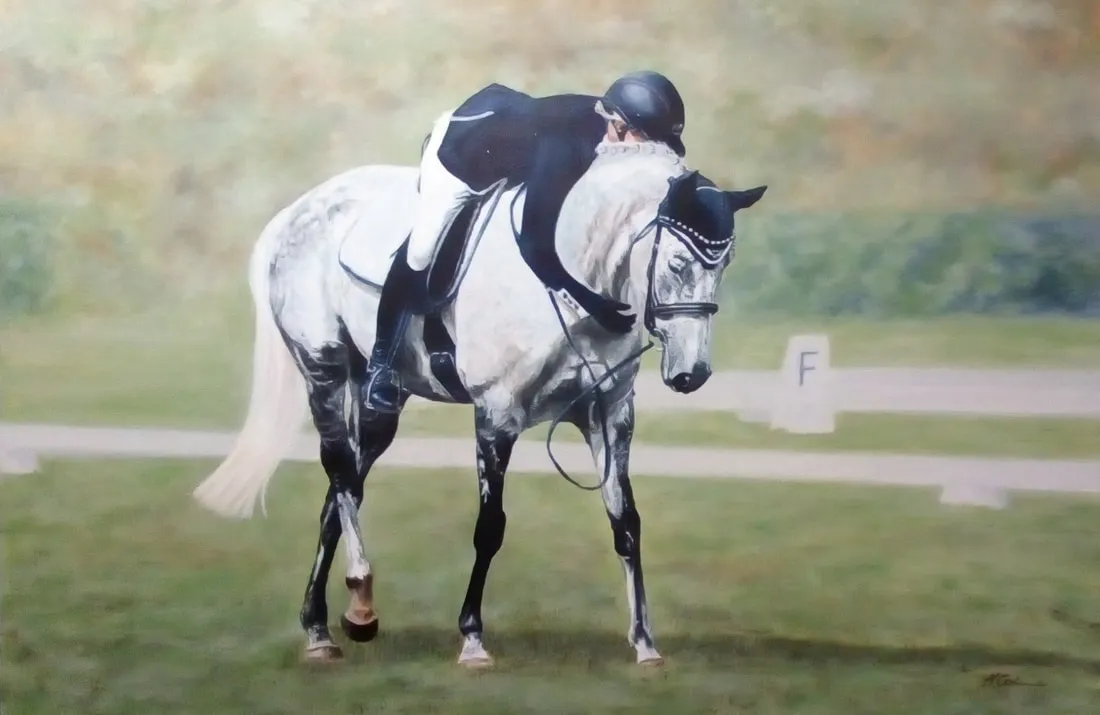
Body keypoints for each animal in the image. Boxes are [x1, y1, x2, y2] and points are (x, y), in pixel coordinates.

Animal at [190, 138, 767, 668]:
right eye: (677, 262)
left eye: (726, 264)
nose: (692, 374)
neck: (573, 281)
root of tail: (294, 213)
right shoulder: (497, 416)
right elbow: (490, 527)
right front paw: (471, 639)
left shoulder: (609, 415)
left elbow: (625, 521)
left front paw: (645, 643)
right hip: (324, 369)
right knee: (340, 471)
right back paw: (348, 609)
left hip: (379, 401)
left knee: (341, 488)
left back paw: (326, 621)